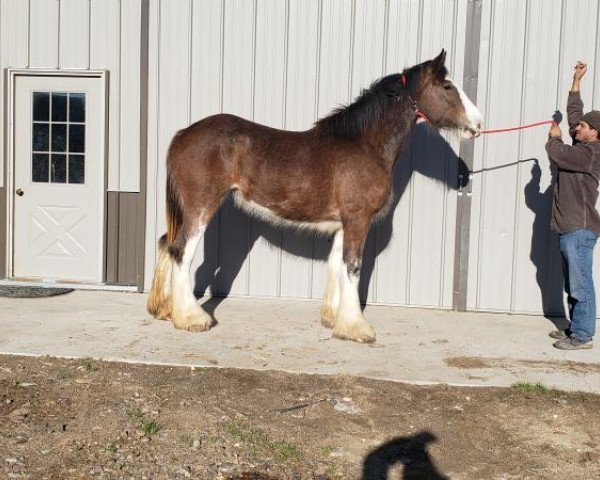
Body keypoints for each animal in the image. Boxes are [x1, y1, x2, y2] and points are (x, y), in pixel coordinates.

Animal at [148, 50, 480, 344]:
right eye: (447, 86)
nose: (477, 125)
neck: (364, 144)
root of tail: (183, 134)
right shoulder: (358, 220)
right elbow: (353, 267)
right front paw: (357, 329)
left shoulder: (344, 223)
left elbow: (337, 265)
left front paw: (335, 320)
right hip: (201, 207)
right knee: (181, 252)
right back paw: (192, 318)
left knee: (166, 243)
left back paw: (163, 310)